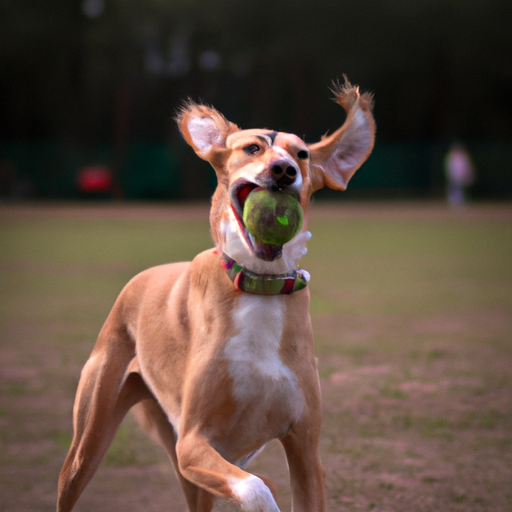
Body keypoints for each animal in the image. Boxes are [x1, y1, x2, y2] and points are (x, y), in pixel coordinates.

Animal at [57, 77, 376, 512]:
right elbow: (257, 488)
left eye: (303, 154)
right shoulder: (193, 444)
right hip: (92, 439)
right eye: (253, 148)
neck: (261, 288)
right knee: (72, 474)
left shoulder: (306, 452)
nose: (284, 169)